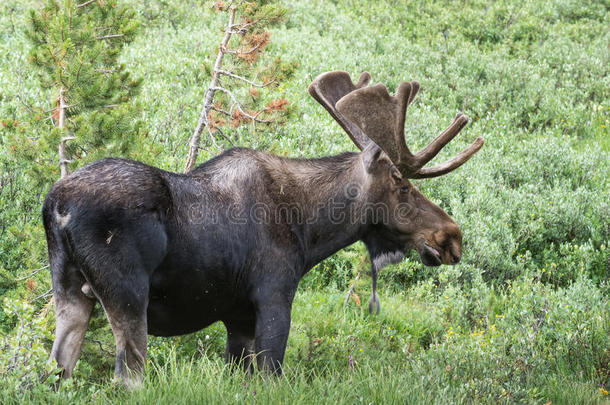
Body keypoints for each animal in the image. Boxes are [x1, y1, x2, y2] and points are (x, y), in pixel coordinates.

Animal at [41, 71, 480, 386]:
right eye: (402, 185)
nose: (452, 236)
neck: (309, 229)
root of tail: (57, 205)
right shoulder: (274, 295)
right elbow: (271, 375)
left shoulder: (236, 316)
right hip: (127, 292)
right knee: (127, 378)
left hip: (69, 292)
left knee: (56, 371)